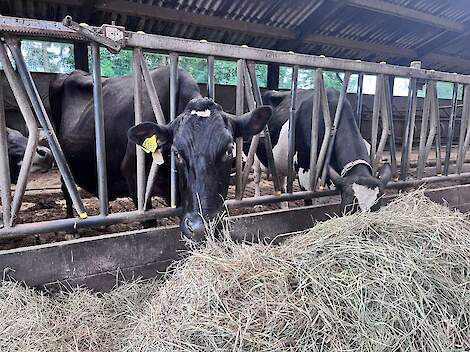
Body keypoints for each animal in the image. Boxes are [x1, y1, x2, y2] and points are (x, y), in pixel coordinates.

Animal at [50, 66, 272, 241]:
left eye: (228, 150)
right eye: (177, 153)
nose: (201, 227)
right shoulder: (134, 180)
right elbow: (150, 223)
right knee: (66, 188)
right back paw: (72, 229)